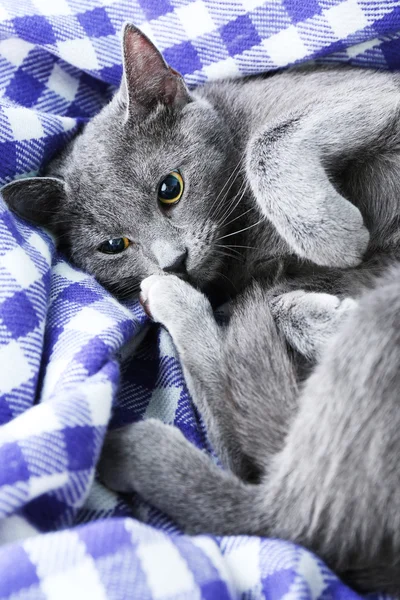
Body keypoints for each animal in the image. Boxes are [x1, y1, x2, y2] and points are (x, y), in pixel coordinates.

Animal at [2, 24, 400, 596]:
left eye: (170, 188)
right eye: (114, 245)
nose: (173, 260)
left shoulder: (369, 94)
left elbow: (268, 141)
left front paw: (333, 235)